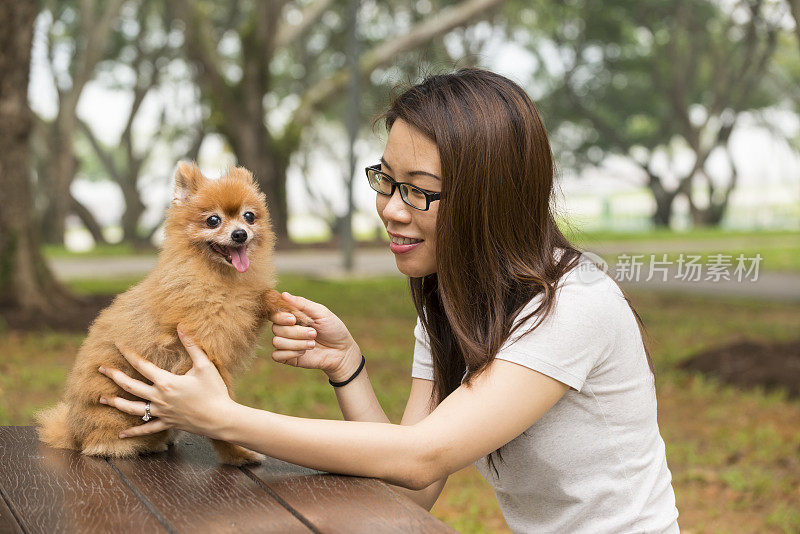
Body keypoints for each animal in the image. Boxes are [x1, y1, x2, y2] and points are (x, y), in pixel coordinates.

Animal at [34, 161, 304, 466]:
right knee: (102, 445)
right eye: (213, 220)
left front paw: (289, 308)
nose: (240, 234)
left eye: (249, 216)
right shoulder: (205, 357)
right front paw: (237, 454)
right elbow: (221, 414)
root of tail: (73, 431)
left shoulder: (245, 304)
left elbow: (263, 295)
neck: (221, 279)